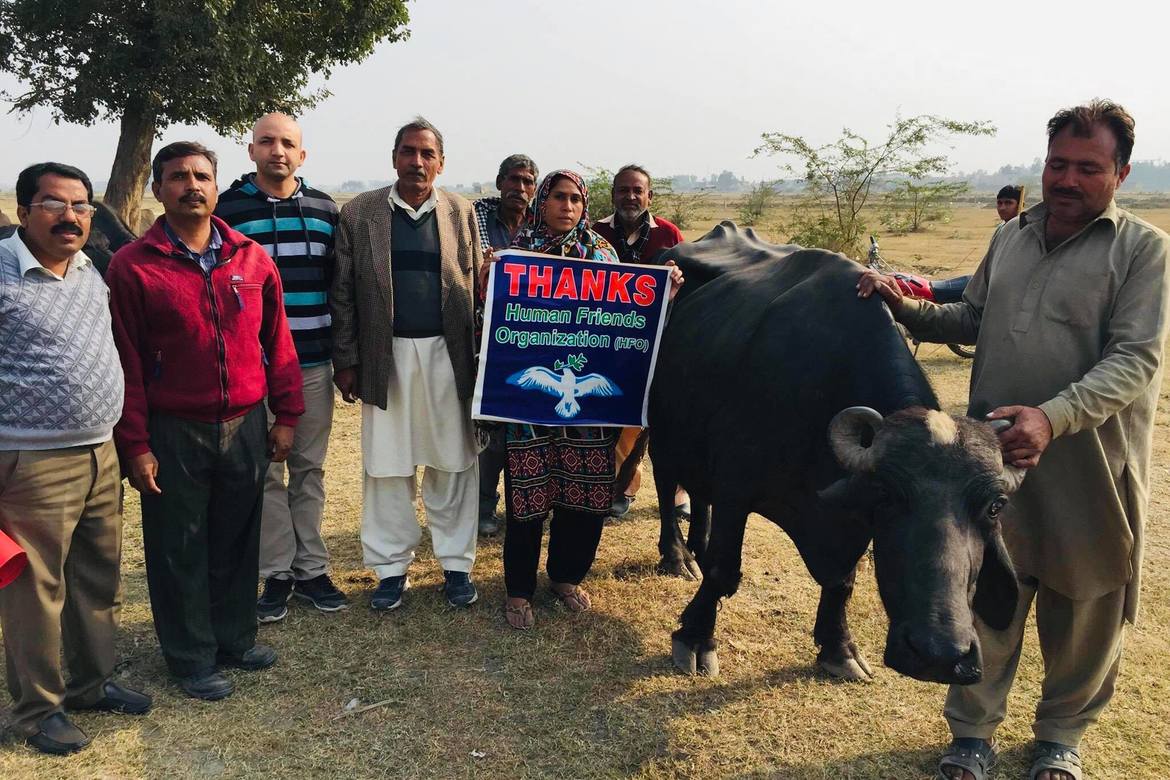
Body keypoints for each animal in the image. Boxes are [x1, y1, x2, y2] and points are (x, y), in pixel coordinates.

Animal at [650, 224, 1024, 682]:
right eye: (888, 495)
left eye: (995, 505)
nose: (939, 655)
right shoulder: (735, 489)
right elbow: (723, 570)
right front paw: (695, 636)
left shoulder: (848, 519)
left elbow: (842, 581)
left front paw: (838, 647)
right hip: (663, 435)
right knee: (666, 486)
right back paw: (677, 555)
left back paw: (696, 546)